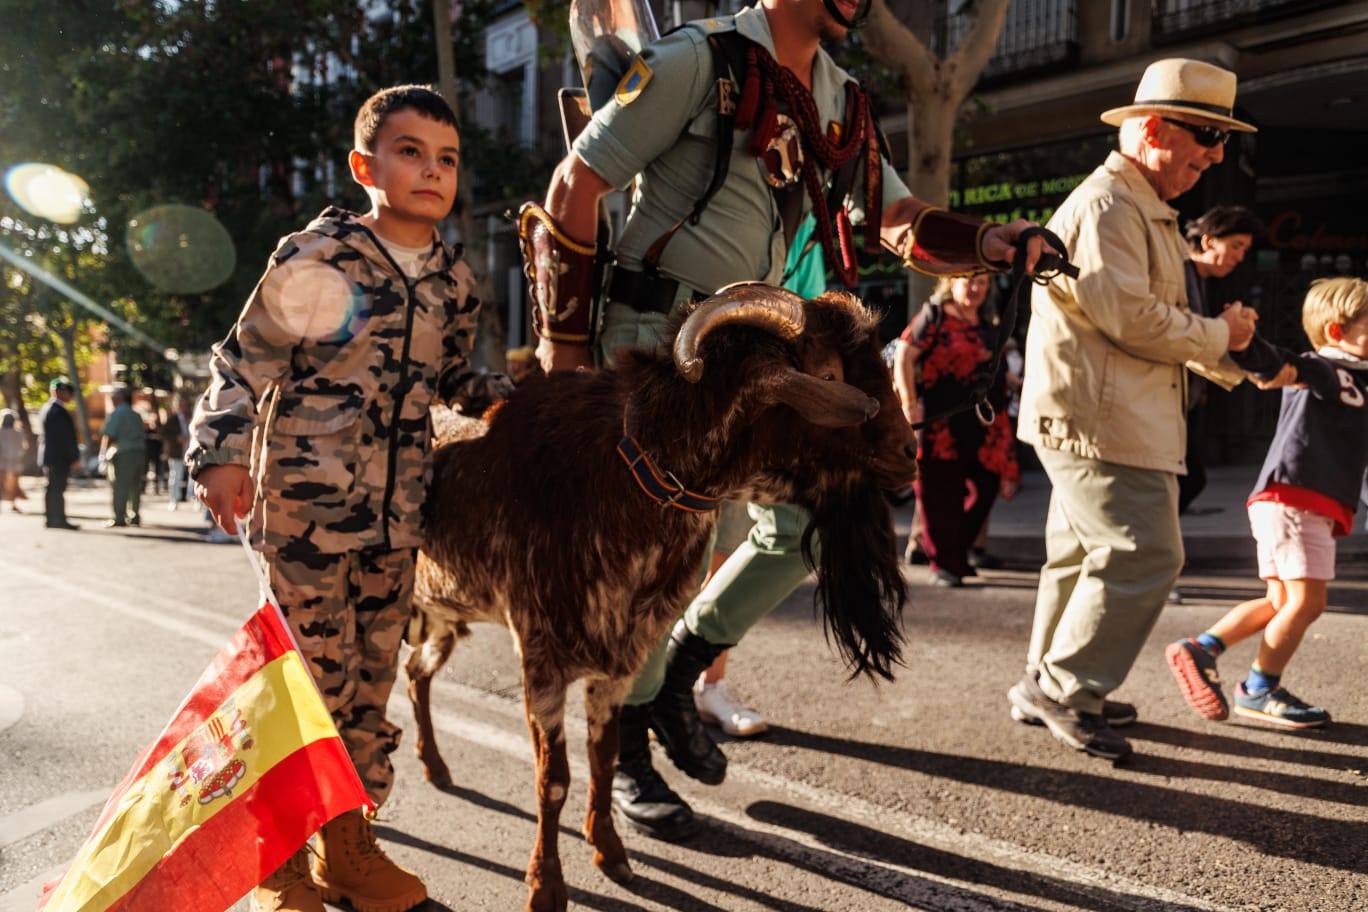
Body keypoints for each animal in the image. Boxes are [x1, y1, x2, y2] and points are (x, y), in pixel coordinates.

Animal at [404, 283, 919, 907]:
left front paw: (612, 855)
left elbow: (601, 763)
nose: (911, 451)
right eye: (828, 372)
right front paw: (546, 885)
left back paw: (434, 768)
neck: (626, 475)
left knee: (416, 674)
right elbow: (554, 779)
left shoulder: (616, 665)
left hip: (441, 617)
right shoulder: (541, 660)